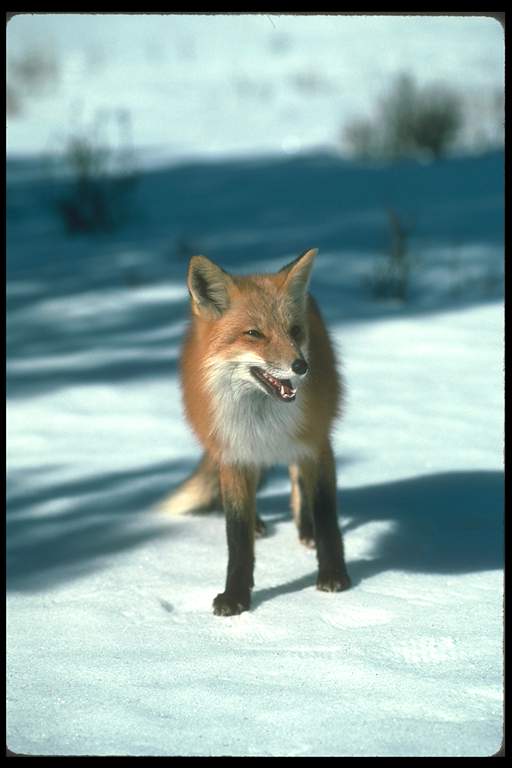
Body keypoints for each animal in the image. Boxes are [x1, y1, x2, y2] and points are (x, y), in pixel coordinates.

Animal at [161, 247, 351, 616]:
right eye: (254, 334)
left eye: (295, 331)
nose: (301, 366)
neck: (262, 421)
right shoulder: (234, 454)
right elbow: (237, 535)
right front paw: (235, 596)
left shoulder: (316, 444)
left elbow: (326, 514)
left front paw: (334, 574)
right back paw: (260, 523)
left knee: (297, 480)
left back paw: (304, 529)